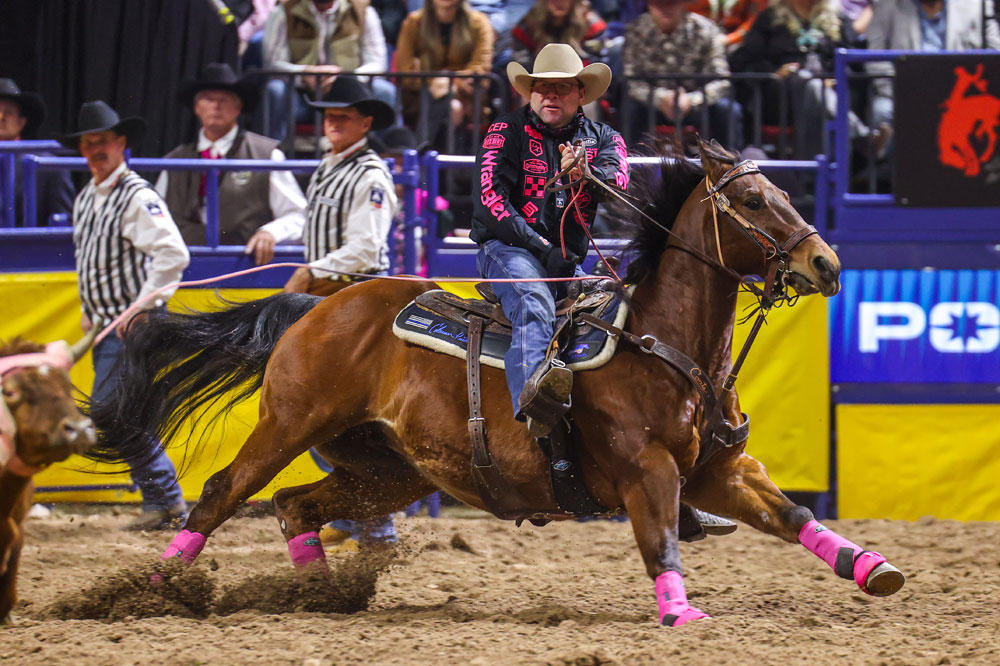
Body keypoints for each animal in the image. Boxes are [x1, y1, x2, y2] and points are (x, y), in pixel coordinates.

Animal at [92, 139, 908, 624]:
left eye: (784, 193)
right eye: (752, 201)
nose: (827, 263)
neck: (664, 347)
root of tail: (319, 303)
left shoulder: (720, 470)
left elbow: (792, 516)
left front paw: (873, 569)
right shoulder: (647, 472)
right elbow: (659, 545)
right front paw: (681, 613)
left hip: (390, 469)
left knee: (296, 507)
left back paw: (313, 593)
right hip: (290, 425)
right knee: (223, 492)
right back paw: (144, 592)